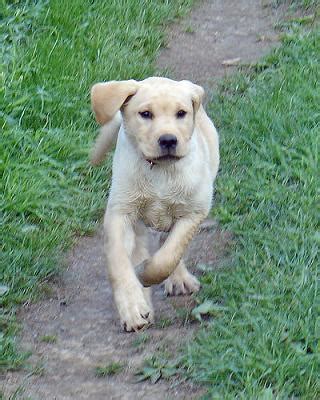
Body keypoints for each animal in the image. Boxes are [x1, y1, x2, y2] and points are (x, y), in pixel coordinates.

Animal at [91, 76, 219, 332]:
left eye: (181, 113)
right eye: (145, 114)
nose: (168, 140)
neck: (160, 170)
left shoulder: (194, 211)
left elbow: (168, 256)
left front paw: (147, 274)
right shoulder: (120, 213)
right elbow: (119, 263)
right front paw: (132, 307)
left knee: (166, 244)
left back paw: (178, 280)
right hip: (137, 221)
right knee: (139, 247)